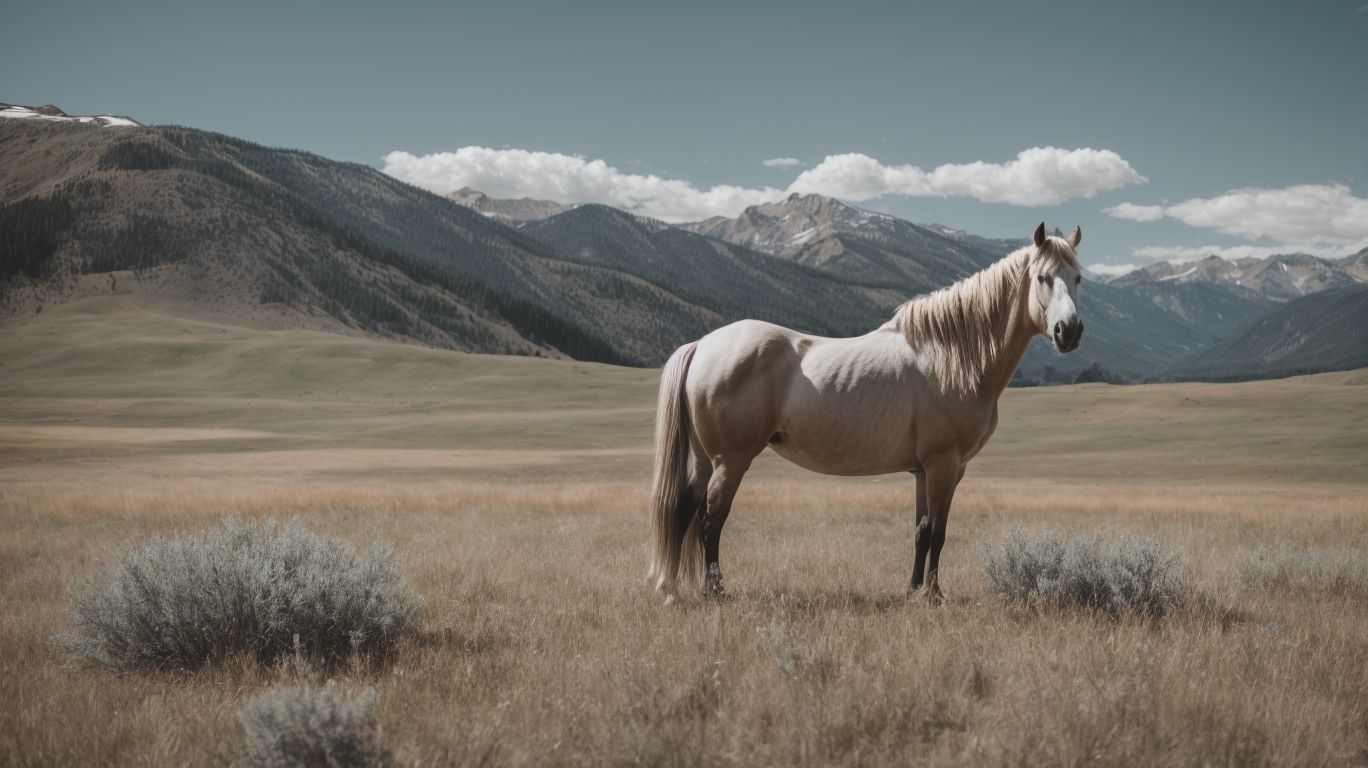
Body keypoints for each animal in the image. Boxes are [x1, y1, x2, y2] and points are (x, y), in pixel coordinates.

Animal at [647, 222, 1084, 603]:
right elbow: (939, 533)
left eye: (1077, 278)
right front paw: (934, 595)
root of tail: (702, 345)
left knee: (683, 512)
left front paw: (912, 591)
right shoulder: (946, 466)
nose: (1070, 331)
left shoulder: (923, 471)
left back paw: (672, 589)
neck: (953, 356)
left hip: (704, 460)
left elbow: (921, 531)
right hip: (731, 460)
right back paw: (715, 591)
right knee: (710, 520)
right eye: (1043, 277)